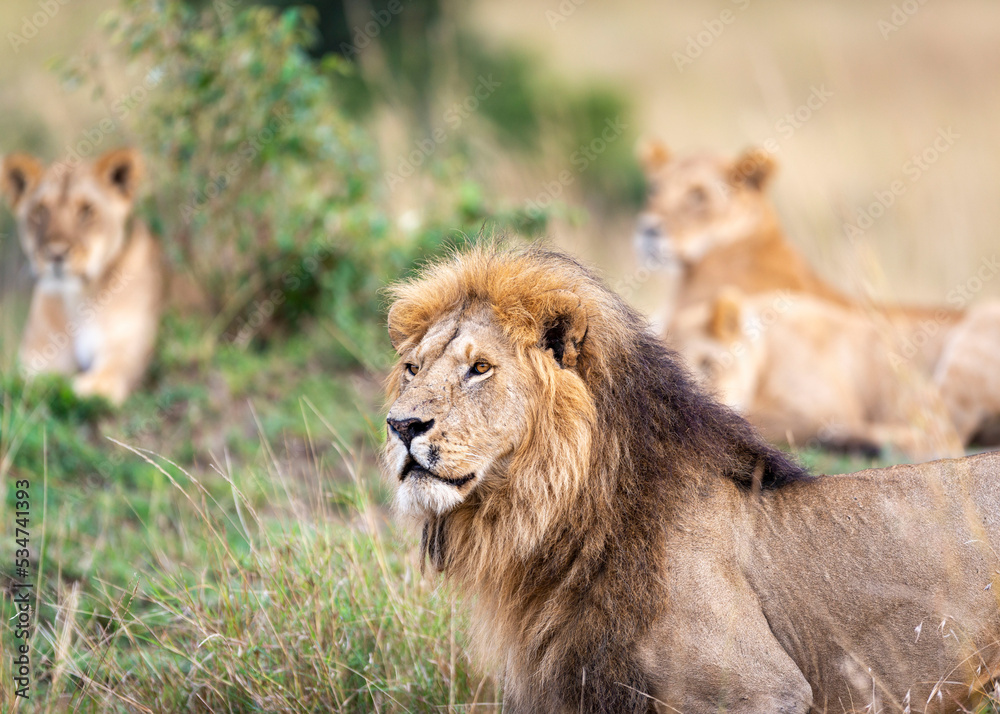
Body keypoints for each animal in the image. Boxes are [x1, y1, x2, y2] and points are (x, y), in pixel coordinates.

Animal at [2, 148, 163, 405]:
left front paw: (86, 388)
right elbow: (24, 381)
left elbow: (109, 375)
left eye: (86, 211)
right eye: (40, 211)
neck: (80, 298)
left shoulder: (128, 346)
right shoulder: (39, 356)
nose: (56, 253)